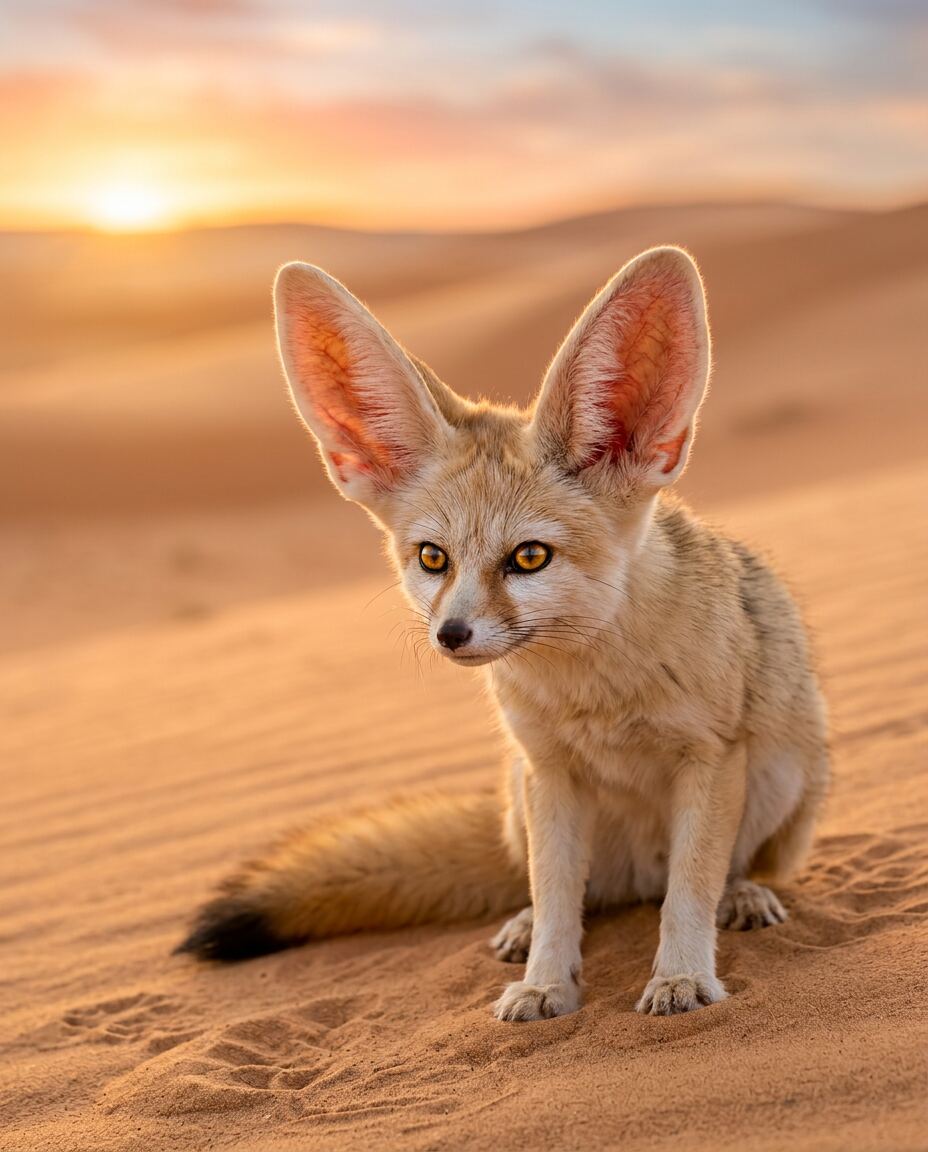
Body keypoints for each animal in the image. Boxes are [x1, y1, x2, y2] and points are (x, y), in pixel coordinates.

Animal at [177, 246, 829, 1021]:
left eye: (529, 557)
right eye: (433, 558)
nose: (451, 634)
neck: (595, 695)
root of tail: (638, 872)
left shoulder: (708, 757)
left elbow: (690, 891)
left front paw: (680, 977)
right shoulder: (550, 770)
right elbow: (556, 900)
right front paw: (547, 984)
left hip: (782, 774)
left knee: (706, 878)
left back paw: (745, 896)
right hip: (521, 794)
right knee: (570, 894)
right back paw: (521, 927)